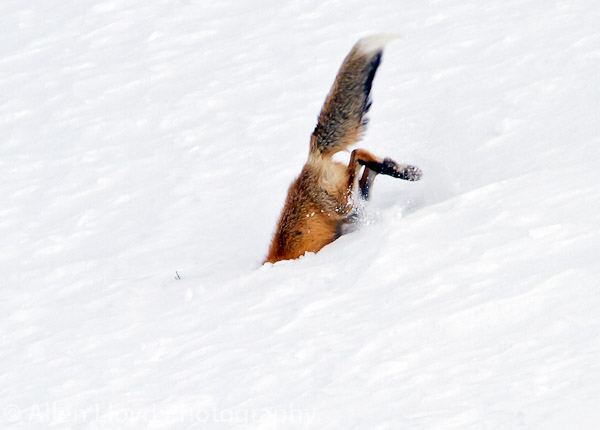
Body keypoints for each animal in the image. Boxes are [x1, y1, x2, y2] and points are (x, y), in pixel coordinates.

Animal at [265, 35, 422, 264]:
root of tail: (311, 160)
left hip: (343, 204)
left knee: (357, 154)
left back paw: (394, 168)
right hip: (354, 210)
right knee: (365, 173)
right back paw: (399, 169)